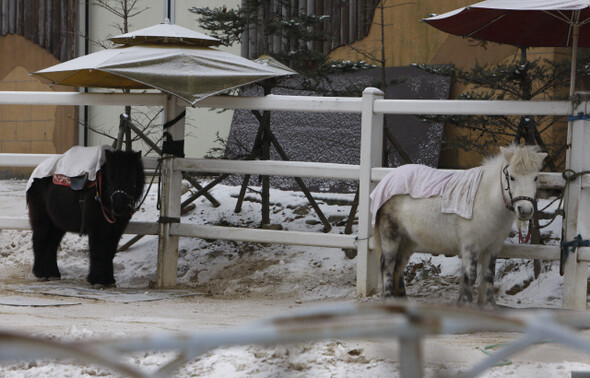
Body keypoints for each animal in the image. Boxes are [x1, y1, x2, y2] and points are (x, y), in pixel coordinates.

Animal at [27, 151, 145, 286]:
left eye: (132, 177)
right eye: (110, 177)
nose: (119, 205)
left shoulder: (115, 230)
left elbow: (109, 253)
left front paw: (109, 280)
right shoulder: (96, 229)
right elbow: (98, 251)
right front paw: (96, 280)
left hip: (57, 224)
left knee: (51, 244)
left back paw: (53, 273)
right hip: (42, 219)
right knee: (39, 240)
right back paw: (40, 273)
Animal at [376, 143, 548, 306]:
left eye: (535, 178)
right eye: (512, 177)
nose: (525, 210)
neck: (486, 199)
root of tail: (388, 178)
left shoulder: (492, 248)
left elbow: (488, 275)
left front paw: (488, 305)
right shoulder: (470, 246)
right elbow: (469, 275)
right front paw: (465, 303)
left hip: (408, 241)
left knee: (398, 266)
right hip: (391, 236)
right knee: (388, 266)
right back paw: (389, 299)